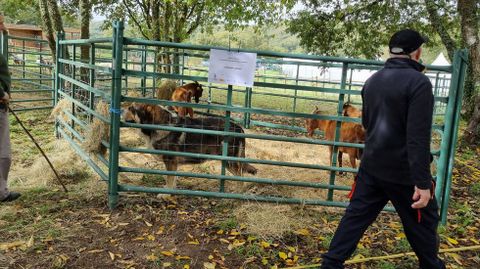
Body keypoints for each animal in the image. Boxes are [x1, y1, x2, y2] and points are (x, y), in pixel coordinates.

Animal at [124, 102, 258, 193]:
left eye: (131, 108)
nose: (121, 110)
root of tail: (238, 128)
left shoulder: (170, 161)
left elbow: (169, 179)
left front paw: (165, 194)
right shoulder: (174, 164)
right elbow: (173, 179)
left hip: (230, 162)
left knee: (240, 177)